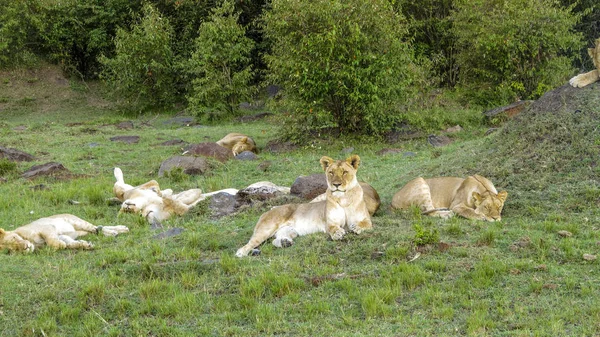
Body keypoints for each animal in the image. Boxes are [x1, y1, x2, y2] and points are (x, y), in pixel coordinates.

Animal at [0, 213, 129, 252]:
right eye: (11, 250)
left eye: (14, 238)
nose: (26, 247)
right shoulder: (62, 235)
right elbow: (70, 243)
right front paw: (85, 244)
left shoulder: (47, 228)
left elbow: (53, 242)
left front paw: (60, 245)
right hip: (82, 231)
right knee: (98, 230)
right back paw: (117, 231)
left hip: (78, 222)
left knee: (96, 228)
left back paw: (117, 231)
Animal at [234, 155, 376, 258]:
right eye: (331, 172)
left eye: (345, 172)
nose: (336, 184)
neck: (343, 198)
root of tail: (270, 210)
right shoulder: (330, 223)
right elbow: (333, 228)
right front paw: (338, 233)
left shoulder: (366, 219)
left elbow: (364, 224)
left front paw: (356, 227)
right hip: (266, 229)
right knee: (249, 243)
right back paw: (241, 253)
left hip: (290, 231)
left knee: (276, 240)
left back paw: (285, 243)